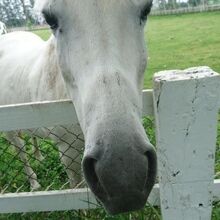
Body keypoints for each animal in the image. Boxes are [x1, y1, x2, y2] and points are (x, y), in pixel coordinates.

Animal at [0, 0, 156, 214]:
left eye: (146, 9)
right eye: (49, 19)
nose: (123, 176)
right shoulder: (67, 150)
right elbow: (77, 185)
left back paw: (39, 157)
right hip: (11, 133)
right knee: (21, 152)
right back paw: (34, 183)